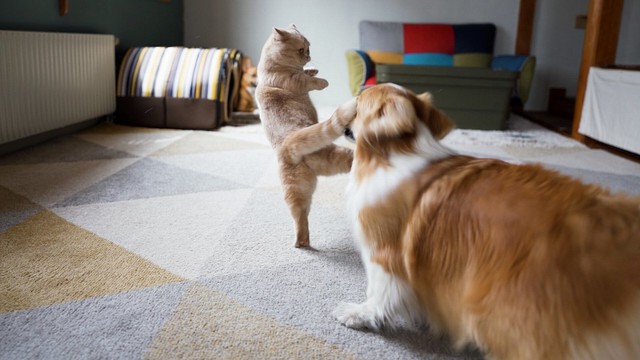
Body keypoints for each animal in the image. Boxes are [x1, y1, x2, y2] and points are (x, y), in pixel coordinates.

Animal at [255, 23, 356, 248]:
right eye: (301, 49)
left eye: (308, 47)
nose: (309, 56)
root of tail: (290, 144)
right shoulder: (294, 81)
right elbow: (310, 81)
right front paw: (322, 80)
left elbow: (309, 74)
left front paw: (313, 69)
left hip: (304, 190)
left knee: (301, 220)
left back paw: (302, 243)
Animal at [322, 83, 636, 358]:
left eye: (360, 102)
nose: (357, 91)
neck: (392, 155)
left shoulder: (384, 254)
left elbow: (379, 293)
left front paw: (359, 314)